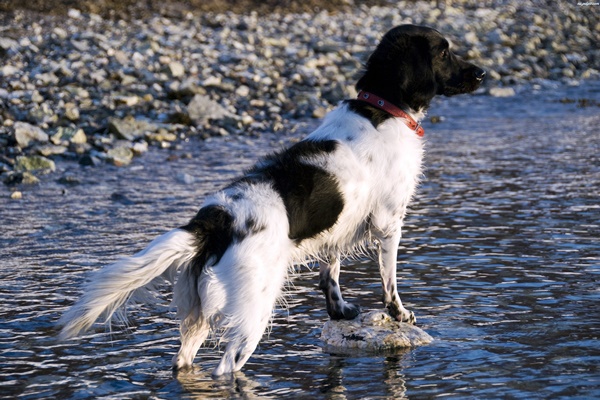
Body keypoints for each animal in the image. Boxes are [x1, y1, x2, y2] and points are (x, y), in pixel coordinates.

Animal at [58, 25, 486, 378]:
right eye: (444, 52)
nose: (482, 73)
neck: (382, 109)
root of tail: (216, 219)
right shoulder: (388, 222)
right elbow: (389, 281)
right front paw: (400, 313)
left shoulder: (336, 228)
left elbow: (330, 273)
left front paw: (340, 311)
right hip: (254, 311)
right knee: (227, 368)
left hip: (198, 317)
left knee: (184, 363)